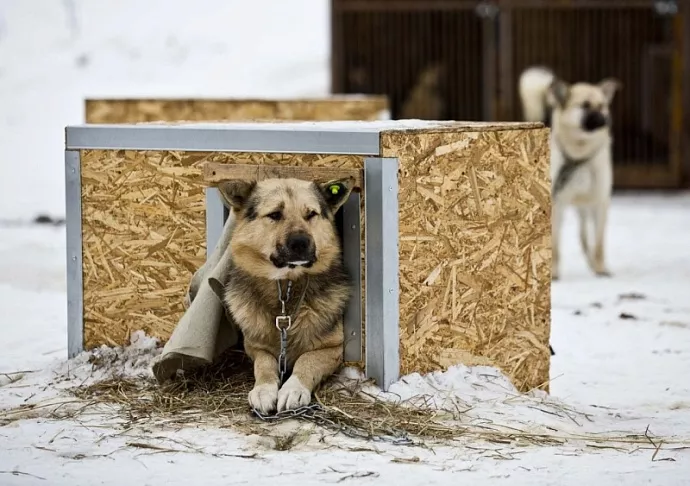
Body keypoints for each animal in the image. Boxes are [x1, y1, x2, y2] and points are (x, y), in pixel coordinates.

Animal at [214, 177, 354, 416]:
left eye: (311, 214)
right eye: (275, 214)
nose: (301, 242)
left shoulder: (333, 348)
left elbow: (307, 360)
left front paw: (293, 389)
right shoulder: (255, 347)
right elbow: (264, 365)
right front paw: (264, 389)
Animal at [516, 68, 620, 280]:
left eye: (602, 106)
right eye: (585, 105)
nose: (605, 120)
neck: (578, 158)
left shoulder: (600, 202)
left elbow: (599, 244)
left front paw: (601, 269)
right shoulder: (558, 203)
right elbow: (555, 245)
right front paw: (554, 273)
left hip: (585, 207)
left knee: (585, 237)